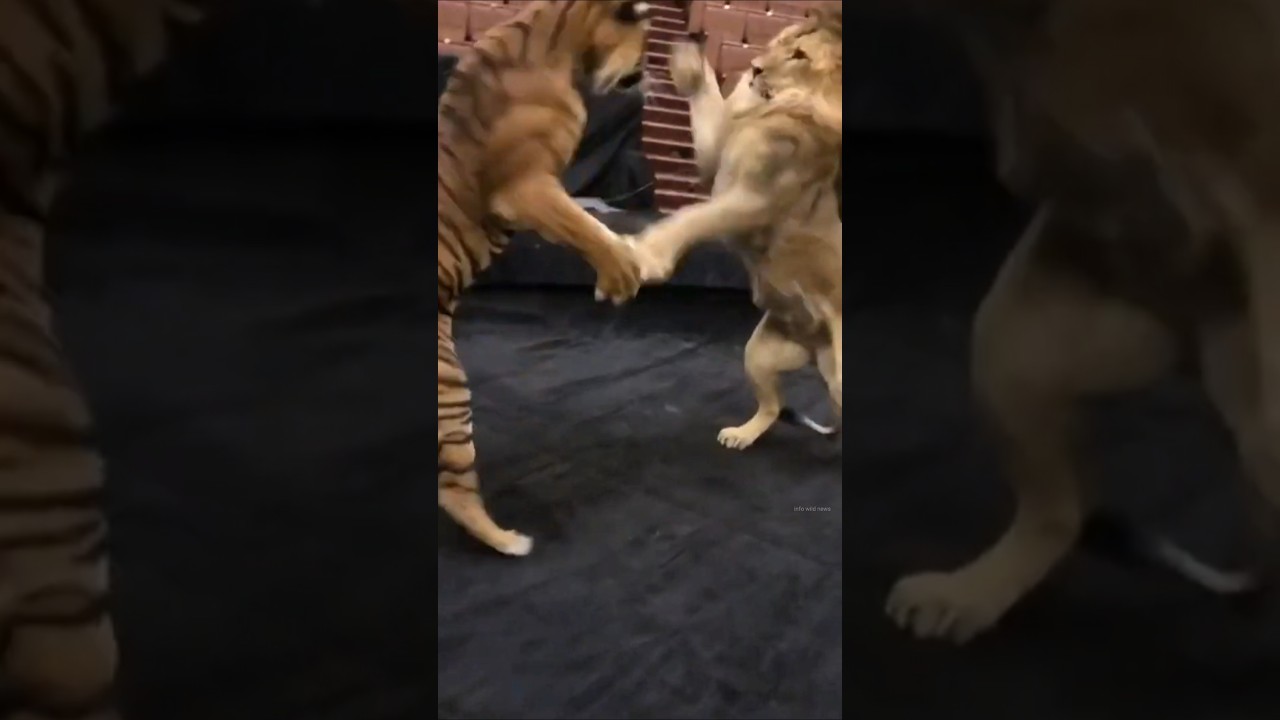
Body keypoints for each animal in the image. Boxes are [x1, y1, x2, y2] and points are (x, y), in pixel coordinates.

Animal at [437, 1, 653, 558]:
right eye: (646, 39)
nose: (649, 75)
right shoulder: (530, 187)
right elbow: (585, 225)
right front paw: (621, 272)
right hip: (451, 395)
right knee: (455, 490)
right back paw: (510, 541)